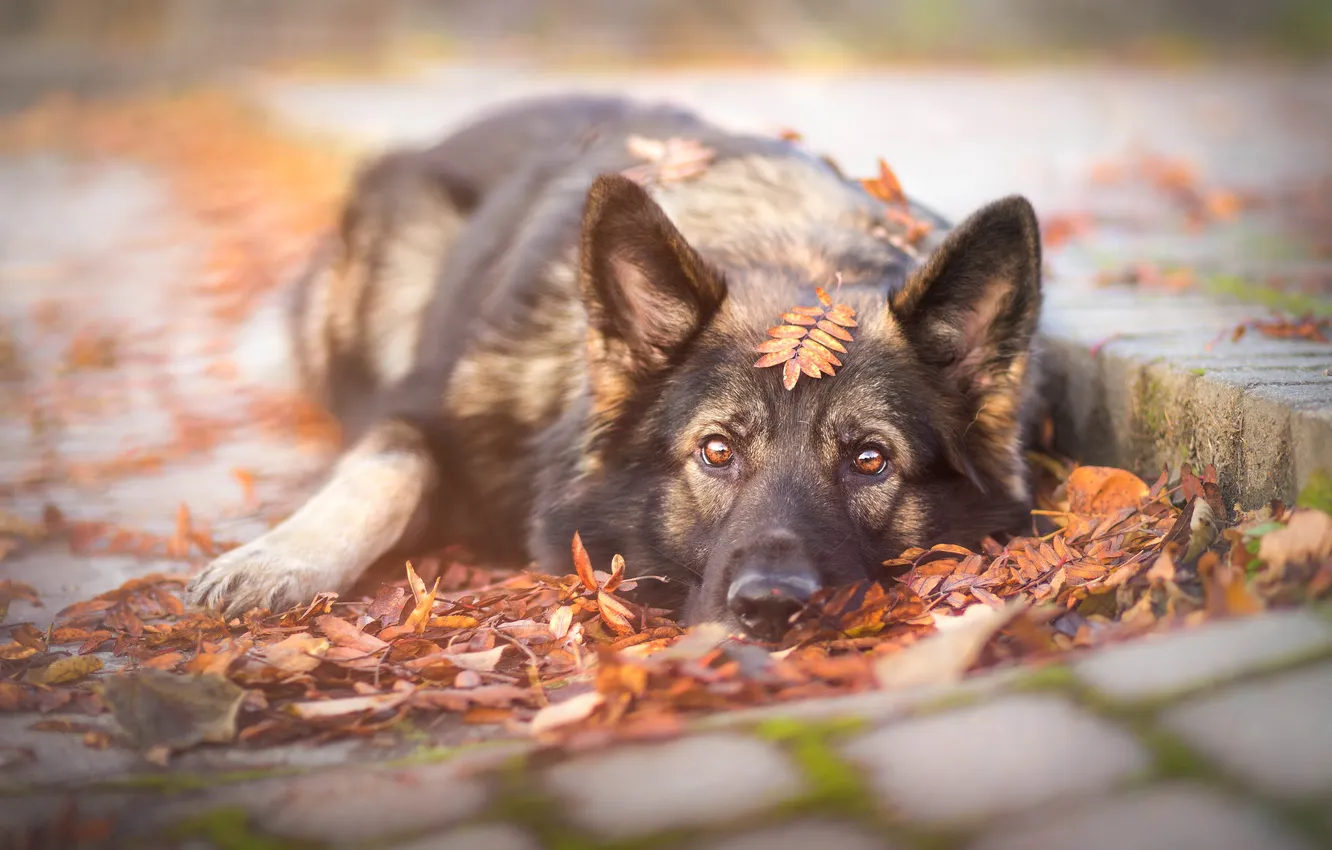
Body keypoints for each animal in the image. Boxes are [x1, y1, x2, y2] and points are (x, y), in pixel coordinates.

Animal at [187, 96, 1044, 642]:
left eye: (870, 460)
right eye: (717, 451)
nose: (771, 608)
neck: (793, 250)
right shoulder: (423, 409)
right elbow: (385, 465)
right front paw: (279, 557)